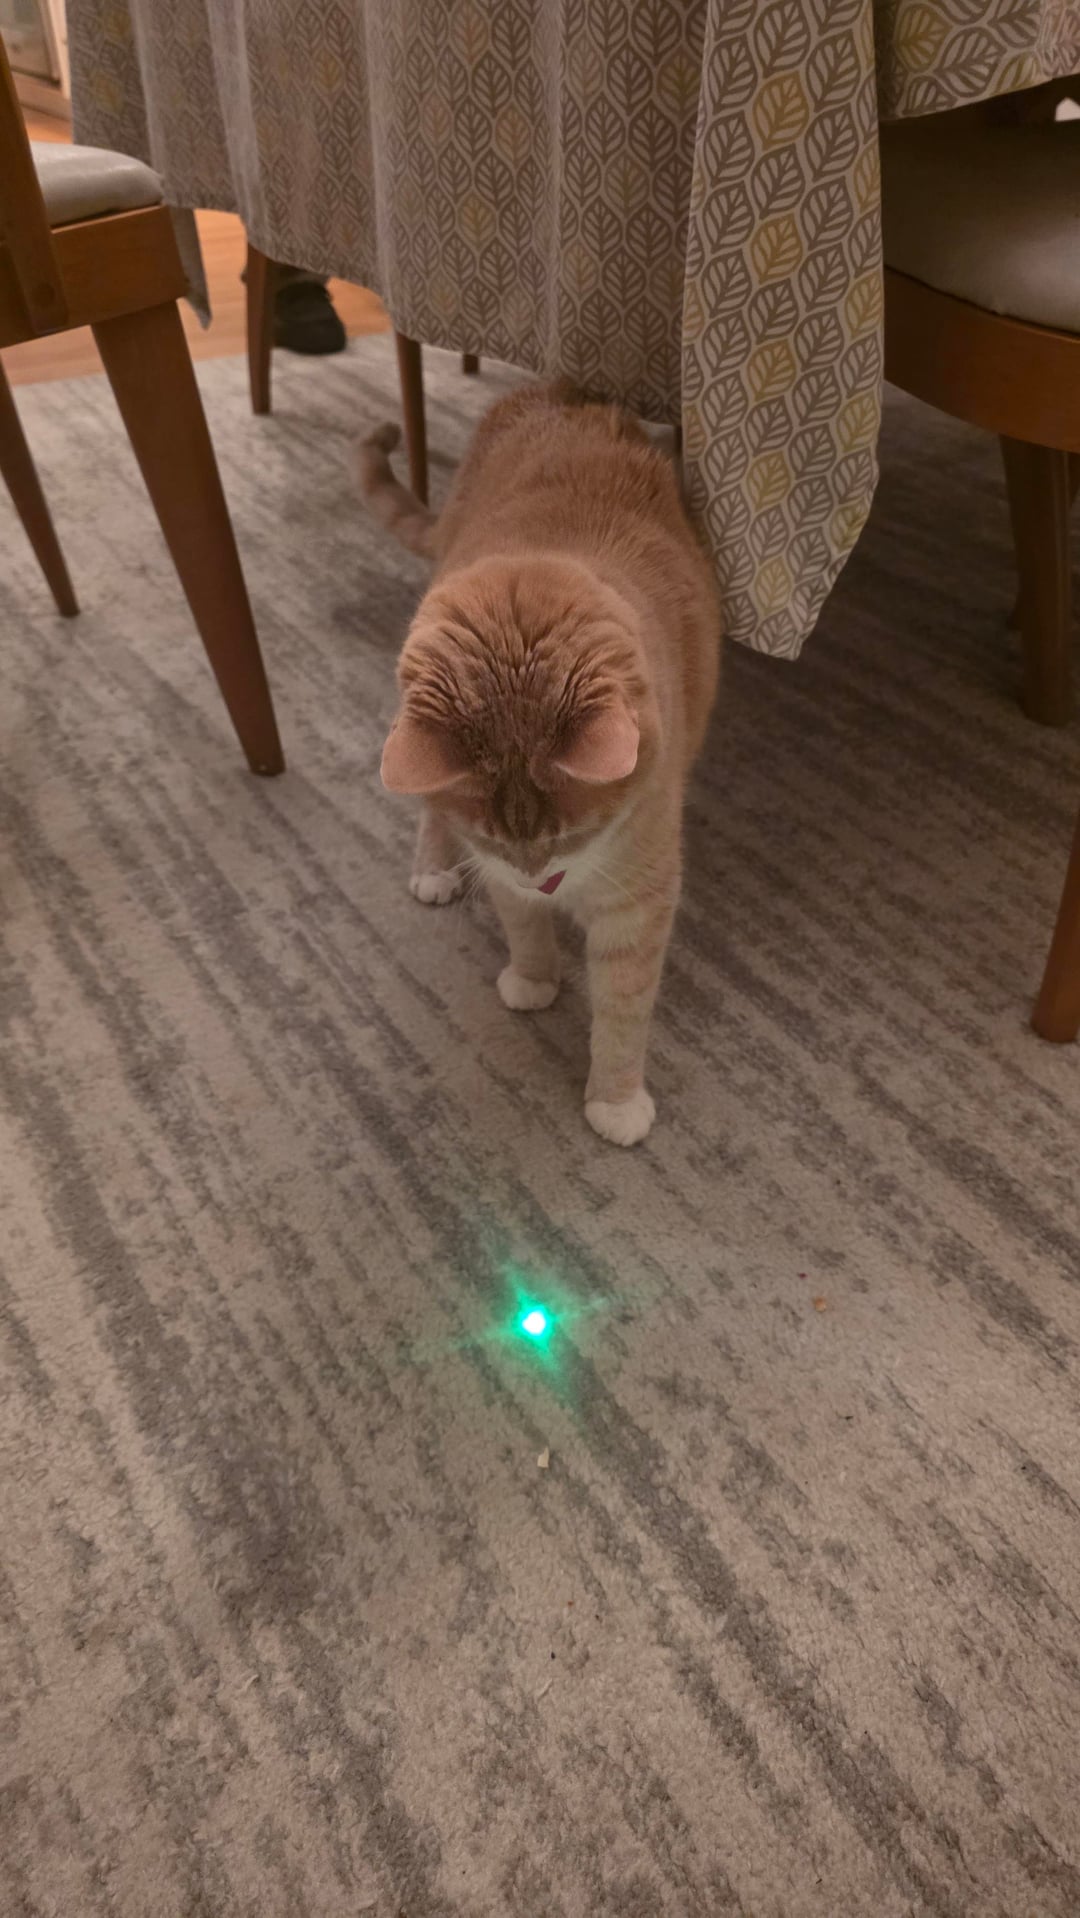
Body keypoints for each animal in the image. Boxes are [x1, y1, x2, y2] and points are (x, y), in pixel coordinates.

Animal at [359, 382, 721, 1146]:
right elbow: (522, 926)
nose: (544, 881)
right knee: (429, 809)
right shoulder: (500, 870)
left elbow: (622, 1007)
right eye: (495, 839)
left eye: (576, 835)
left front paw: (615, 1101)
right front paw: (532, 979)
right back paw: (434, 867)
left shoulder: (637, 898)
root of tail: (547, 391)